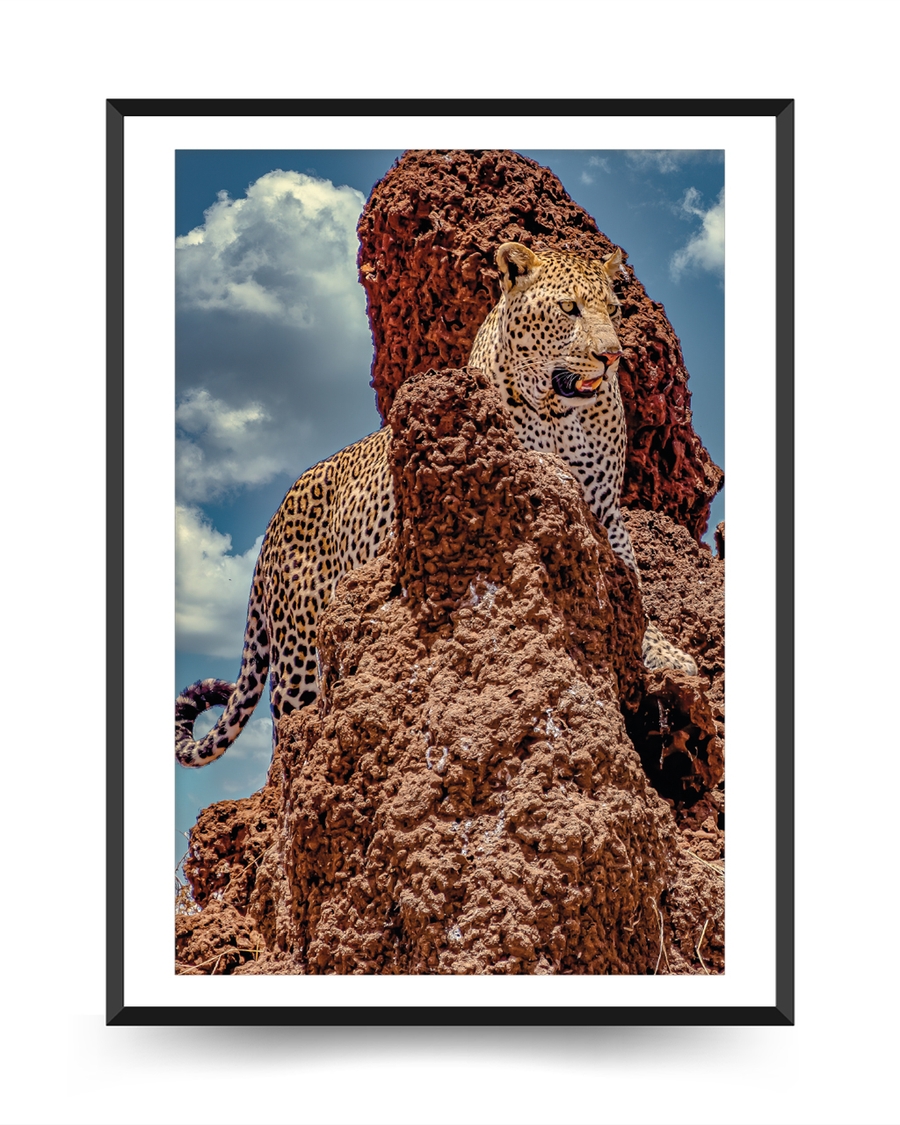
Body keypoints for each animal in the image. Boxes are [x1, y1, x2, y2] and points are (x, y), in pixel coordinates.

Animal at [175, 242, 698, 768]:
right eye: (569, 308)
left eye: (613, 310)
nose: (610, 356)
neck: (560, 413)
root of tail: (274, 520)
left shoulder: (604, 510)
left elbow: (630, 585)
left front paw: (665, 651)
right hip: (298, 654)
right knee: (289, 730)